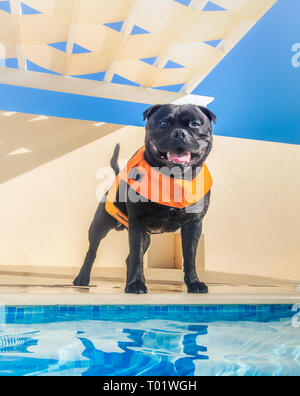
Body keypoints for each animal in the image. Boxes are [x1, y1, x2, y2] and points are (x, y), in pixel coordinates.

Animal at [74, 104, 217, 294]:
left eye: (194, 124)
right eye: (163, 123)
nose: (179, 133)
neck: (173, 178)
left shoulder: (193, 225)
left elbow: (189, 257)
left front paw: (194, 283)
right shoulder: (138, 223)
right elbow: (137, 258)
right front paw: (136, 284)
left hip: (145, 236)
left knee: (130, 258)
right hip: (100, 225)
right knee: (93, 250)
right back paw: (82, 278)